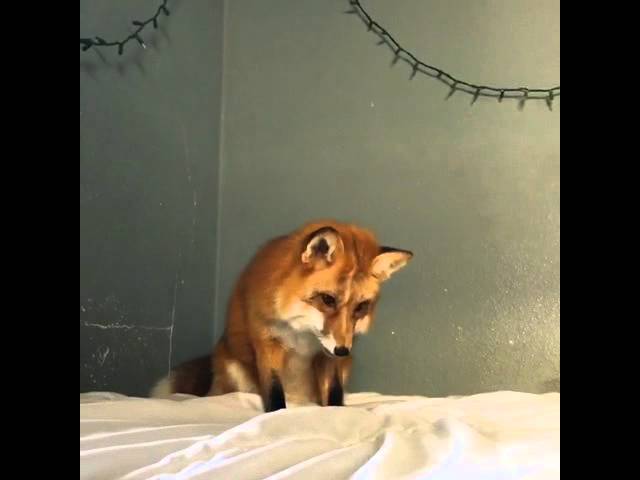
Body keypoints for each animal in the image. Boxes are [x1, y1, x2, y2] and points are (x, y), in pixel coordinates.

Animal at [150, 220, 413, 412]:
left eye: (360, 307)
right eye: (328, 300)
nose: (343, 350)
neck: (303, 334)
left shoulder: (327, 357)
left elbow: (334, 393)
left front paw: (336, 413)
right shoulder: (268, 341)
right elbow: (274, 392)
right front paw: (277, 415)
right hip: (234, 373)